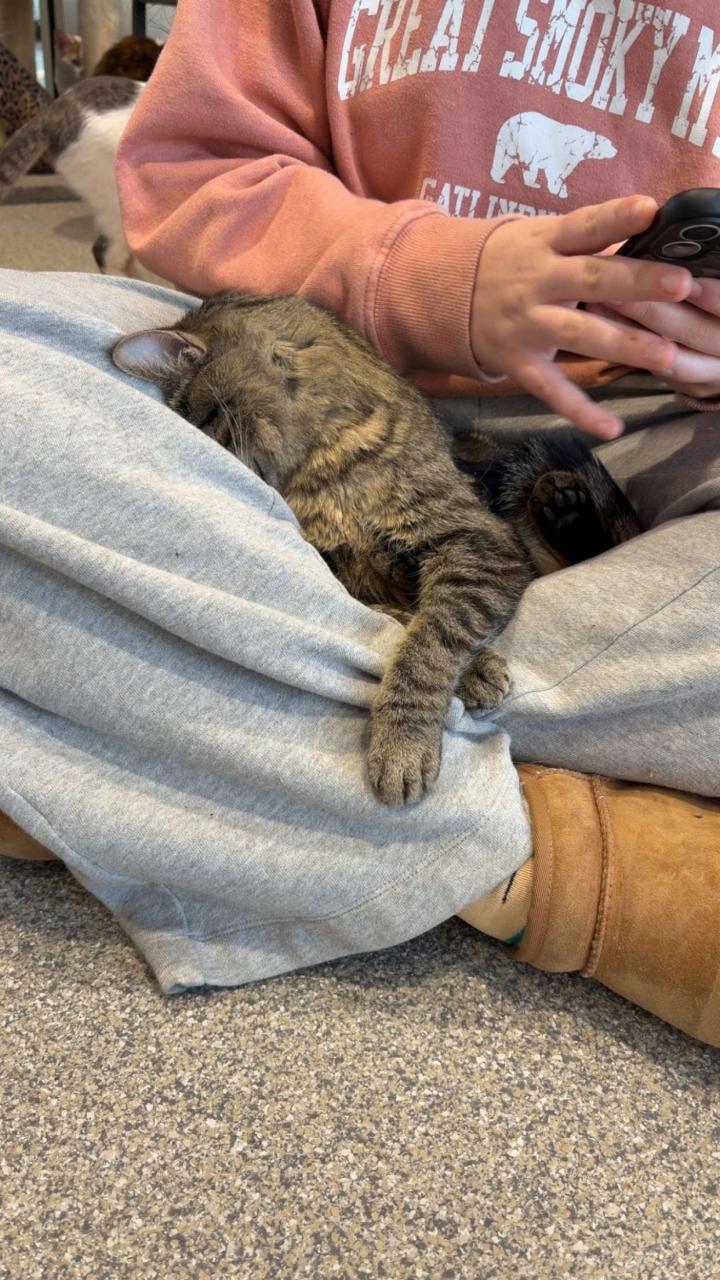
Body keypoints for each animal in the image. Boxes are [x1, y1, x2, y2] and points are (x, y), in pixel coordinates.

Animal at [112, 292, 641, 805]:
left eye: (205, 423)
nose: (235, 472)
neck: (321, 472)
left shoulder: (476, 541)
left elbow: (430, 639)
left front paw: (404, 741)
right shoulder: (348, 577)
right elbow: (405, 621)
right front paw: (474, 671)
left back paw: (564, 504)